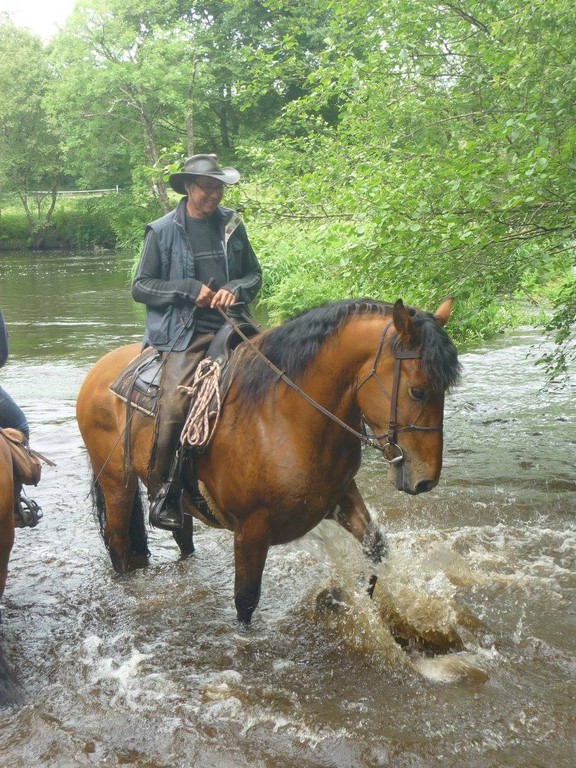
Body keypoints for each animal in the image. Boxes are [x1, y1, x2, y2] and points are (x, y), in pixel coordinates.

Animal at [76, 297, 460, 625]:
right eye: (418, 391)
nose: (426, 479)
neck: (285, 415)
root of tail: (100, 369)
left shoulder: (339, 496)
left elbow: (375, 547)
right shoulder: (251, 529)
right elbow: (245, 600)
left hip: (175, 498)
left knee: (181, 535)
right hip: (117, 483)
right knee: (118, 542)